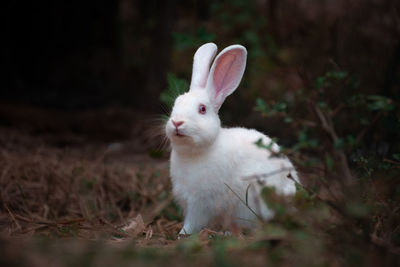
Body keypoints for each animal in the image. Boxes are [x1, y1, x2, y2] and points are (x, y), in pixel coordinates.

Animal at [164, 43, 298, 236]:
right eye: (176, 103)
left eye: (202, 109)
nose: (176, 122)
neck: (195, 153)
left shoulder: (200, 204)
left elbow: (192, 223)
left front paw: (182, 235)